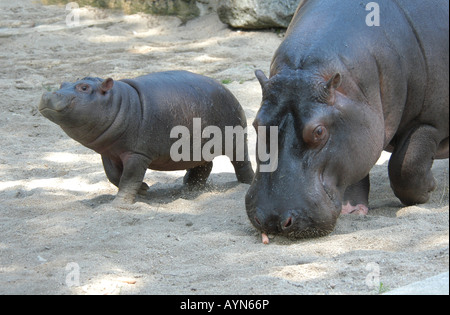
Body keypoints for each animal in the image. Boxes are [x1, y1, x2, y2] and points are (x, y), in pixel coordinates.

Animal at [39, 71, 255, 205]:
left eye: (84, 87)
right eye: (63, 84)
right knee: (204, 166)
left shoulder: (137, 154)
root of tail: (225, 88)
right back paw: (187, 188)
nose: (48, 94)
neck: (119, 101)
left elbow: (129, 178)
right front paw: (144, 189)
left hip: (236, 139)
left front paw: (118, 204)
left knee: (241, 162)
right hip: (196, 149)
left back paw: (246, 183)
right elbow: (113, 176)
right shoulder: (108, 153)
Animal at [248, 0, 448, 239]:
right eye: (256, 124)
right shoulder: (357, 127)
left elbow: (405, 167)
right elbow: (356, 169)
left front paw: (429, 188)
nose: (272, 219)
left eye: (319, 131)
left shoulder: (428, 123)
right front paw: (352, 209)